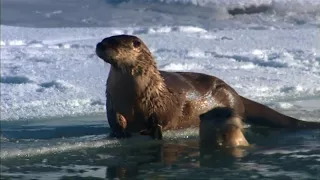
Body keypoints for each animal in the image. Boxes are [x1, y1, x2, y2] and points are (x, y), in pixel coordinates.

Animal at [96, 34, 320, 146]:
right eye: (104, 39)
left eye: (114, 43)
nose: (99, 44)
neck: (132, 95)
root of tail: (237, 94)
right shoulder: (112, 101)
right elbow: (114, 119)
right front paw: (119, 133)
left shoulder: (162, 102)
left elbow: (164, 117)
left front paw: (153, 130)